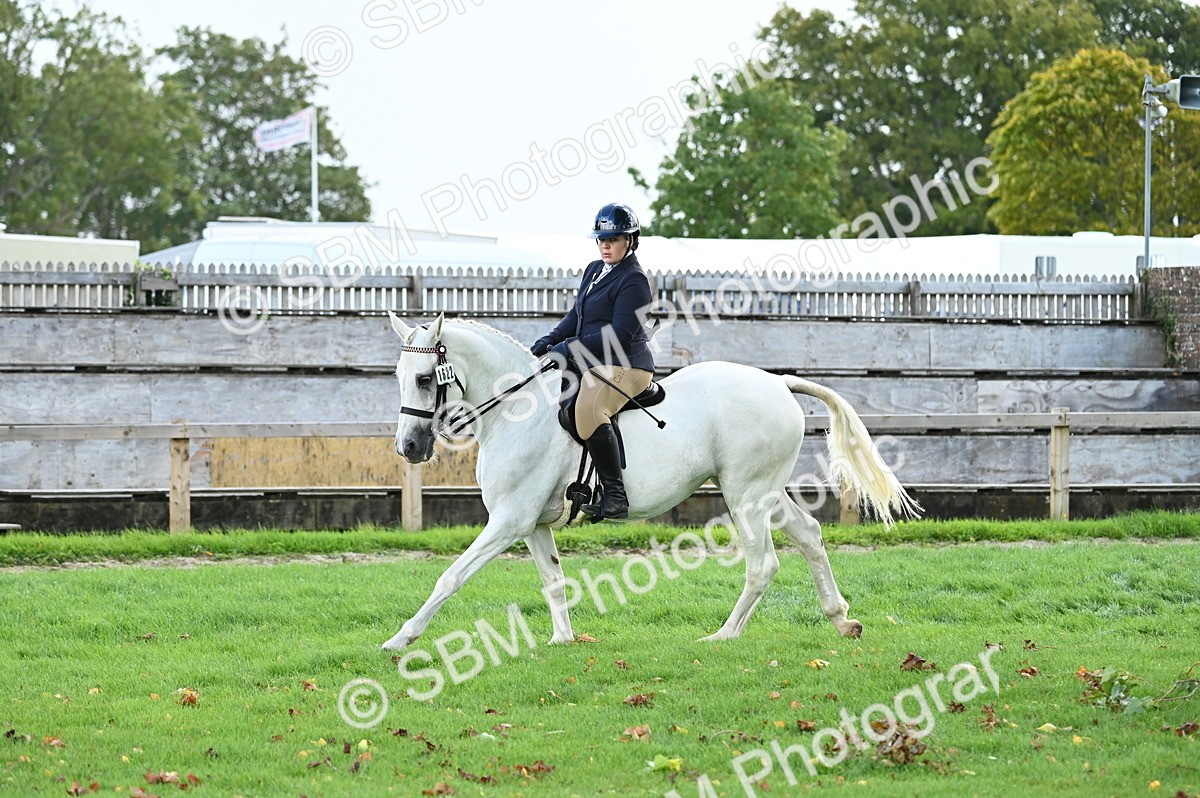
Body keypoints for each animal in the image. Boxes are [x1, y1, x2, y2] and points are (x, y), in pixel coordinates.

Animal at [381, 312, 918, 651]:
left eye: (426, 379)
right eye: (399, 377)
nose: (409, 447)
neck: (518, 408)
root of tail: (776, 381)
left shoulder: (509, 521)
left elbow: (451, 576)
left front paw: (401, 638)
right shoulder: (532, 523)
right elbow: (553, 579)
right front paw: (562, 639)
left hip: (745, 495)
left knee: (762, 563)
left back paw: (724, 636)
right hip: (766, 491)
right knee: (809, 536)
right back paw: (841, 619)